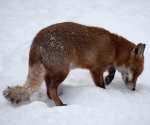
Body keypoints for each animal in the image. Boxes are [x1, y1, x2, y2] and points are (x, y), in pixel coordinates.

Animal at [2, 22, 146, 106]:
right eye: (136, 73)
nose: (134, 89)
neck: (115, 48)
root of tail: (35, 42)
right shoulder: (96, 70)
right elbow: (101, 86)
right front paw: (103, 93)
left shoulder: (106, 65)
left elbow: (113, 70)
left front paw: (109, 78)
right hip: (63, 72)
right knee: (51, 89)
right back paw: (60, 104)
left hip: (51, 73)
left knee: (48, 91)